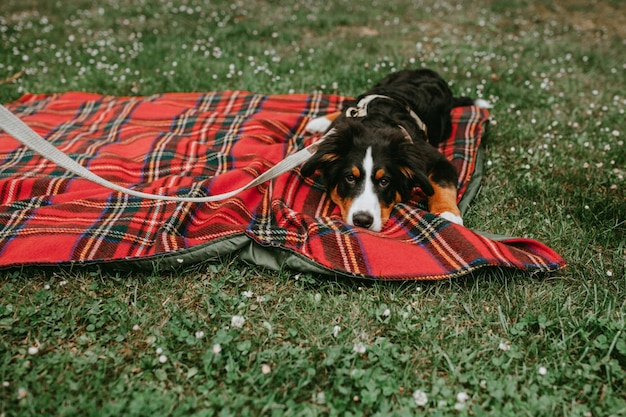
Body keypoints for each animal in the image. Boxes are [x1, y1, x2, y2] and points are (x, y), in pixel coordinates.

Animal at [298, 68, 488, 231]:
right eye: (350, 178)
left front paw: (448, 214)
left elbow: (442, 185)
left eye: (385, 181)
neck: (374, 127)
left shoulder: (436, 159)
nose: (362, 221)